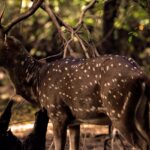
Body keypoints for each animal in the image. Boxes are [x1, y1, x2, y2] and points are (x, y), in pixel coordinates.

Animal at [0, 0, 149, 149]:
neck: (37, 83)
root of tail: (141, 76)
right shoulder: (74, 121)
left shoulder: (57, 113)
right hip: (141, 114)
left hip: (118, 110)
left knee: (140, 143)